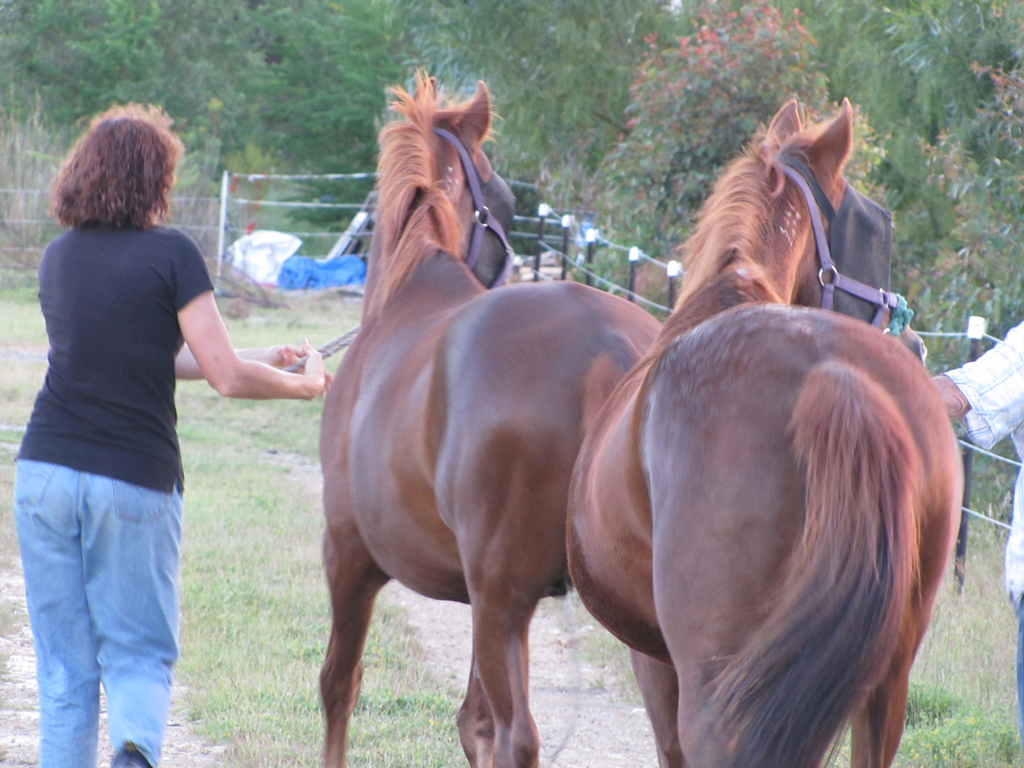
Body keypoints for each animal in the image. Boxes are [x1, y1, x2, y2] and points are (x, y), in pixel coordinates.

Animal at [315, 73, 659, 768]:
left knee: (517, 736)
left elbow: (341, 686)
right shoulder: (474, 595)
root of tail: (609, 344)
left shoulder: (348, 556)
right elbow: (470, 723)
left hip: (504, 600)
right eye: (501, 194)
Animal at [569, 97, 958, 768]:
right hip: (885, 682)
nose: (913, 341)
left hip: (713, 688)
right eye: (875, 227)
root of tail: (831, 376)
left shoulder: (654, 664)